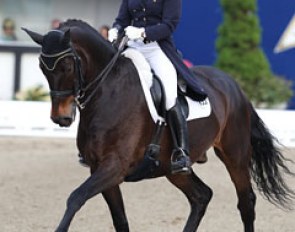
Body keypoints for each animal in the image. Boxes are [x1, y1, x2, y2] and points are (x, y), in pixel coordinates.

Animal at [22, 20, 294, 232]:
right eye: (41, 67)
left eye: (67, 66)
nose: (61, 118)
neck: (108, 92)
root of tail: (234, 86)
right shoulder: (99, 169)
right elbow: (120, 220)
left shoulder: (114, 166)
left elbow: (75, 198)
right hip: (172, 168)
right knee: (201, 196)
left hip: (234, 154)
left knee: (246, 202)